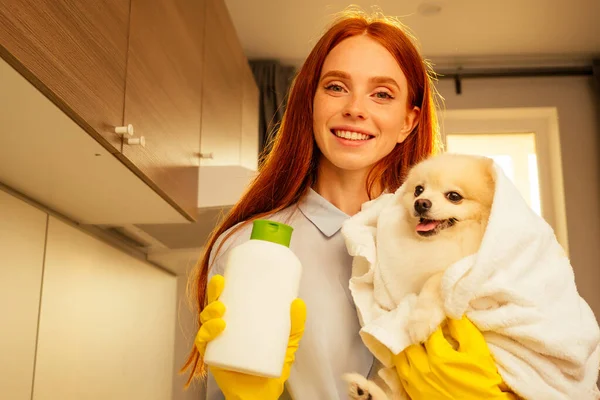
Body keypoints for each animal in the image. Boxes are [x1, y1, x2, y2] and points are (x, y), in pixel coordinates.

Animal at [342, 162, 600, 400]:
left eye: (454, 196)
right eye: (418, 190)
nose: (421, 203)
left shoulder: (463, 272)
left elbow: (437, 280)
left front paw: (419, 322)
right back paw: (366, 391)